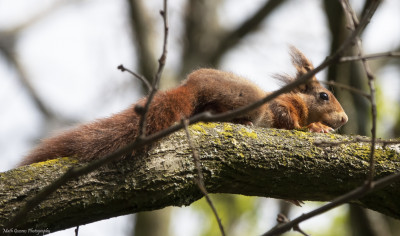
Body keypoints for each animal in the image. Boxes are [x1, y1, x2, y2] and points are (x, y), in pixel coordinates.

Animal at [18, 47, 346, 166]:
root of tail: (190, 86)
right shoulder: (280, 105)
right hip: (245, 98)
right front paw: (313, 127)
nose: (343, 119)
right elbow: (288, 120)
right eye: (324, 96)